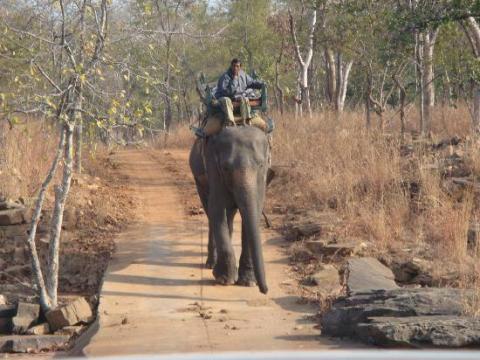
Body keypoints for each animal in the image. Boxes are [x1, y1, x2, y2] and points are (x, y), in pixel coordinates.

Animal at [188, 125, 270, 294]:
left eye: (260, 165)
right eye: (226, 168)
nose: (264, 290)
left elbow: (254, 212)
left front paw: (248, 282)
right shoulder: (213, 166)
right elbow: (217, 208)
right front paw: (224, 279)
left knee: (229, 215)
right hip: (199, 181)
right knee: (211, 212)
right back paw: (211, 263)